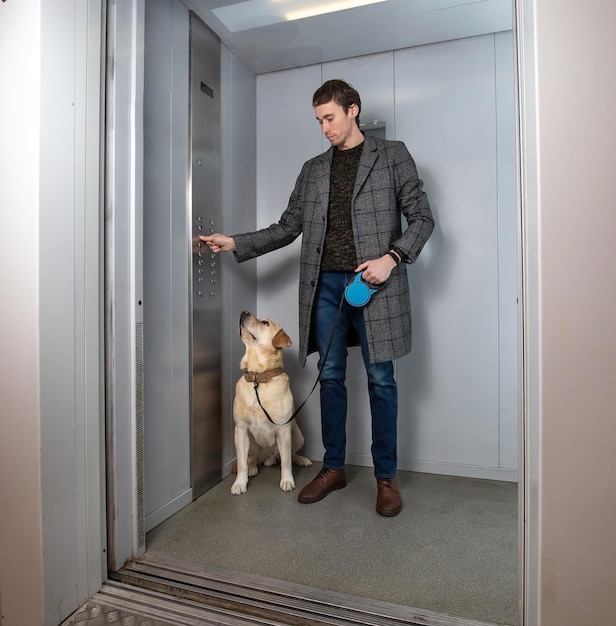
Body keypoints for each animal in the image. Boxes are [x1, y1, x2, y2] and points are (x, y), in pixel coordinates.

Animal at [230, 308, 310, 492]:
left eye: (265, 323)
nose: (243, 312)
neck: (258, 378)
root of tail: (268, 457)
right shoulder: (240, 429)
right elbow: (242, 463)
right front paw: (240, 483)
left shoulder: (283, 430)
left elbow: (286, 462)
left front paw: (287, 480)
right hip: (249, 441)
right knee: (251, 458)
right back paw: (253, 467)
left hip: (297, 435)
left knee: (289, 455)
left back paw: (301, 460)